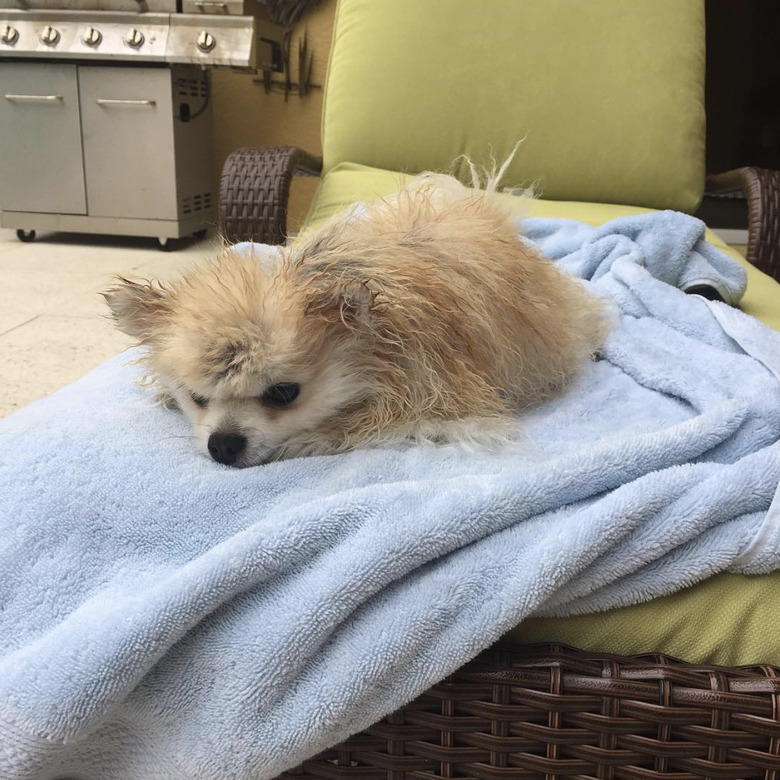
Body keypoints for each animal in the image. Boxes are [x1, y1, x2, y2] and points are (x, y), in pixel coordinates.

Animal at [102, 174, 608, 466]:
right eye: (196, 397)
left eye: (284, 393)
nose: (222, 445)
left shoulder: (446, 404)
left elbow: (369, 426)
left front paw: (311, 439)